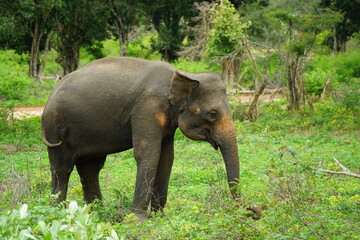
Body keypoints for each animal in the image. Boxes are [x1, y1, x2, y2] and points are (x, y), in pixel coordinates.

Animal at [42, 56, 242, 219]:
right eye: (213, 114)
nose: (246, 211)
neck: (182, 75)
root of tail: (51, 94)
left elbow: (166, 158)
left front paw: (159, 218)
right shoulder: (147, 108)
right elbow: (148, 153)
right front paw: (138, 220)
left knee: (91, 167)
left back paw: (96, 213)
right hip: (55, 128)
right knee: (62, 168)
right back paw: (56, 214)